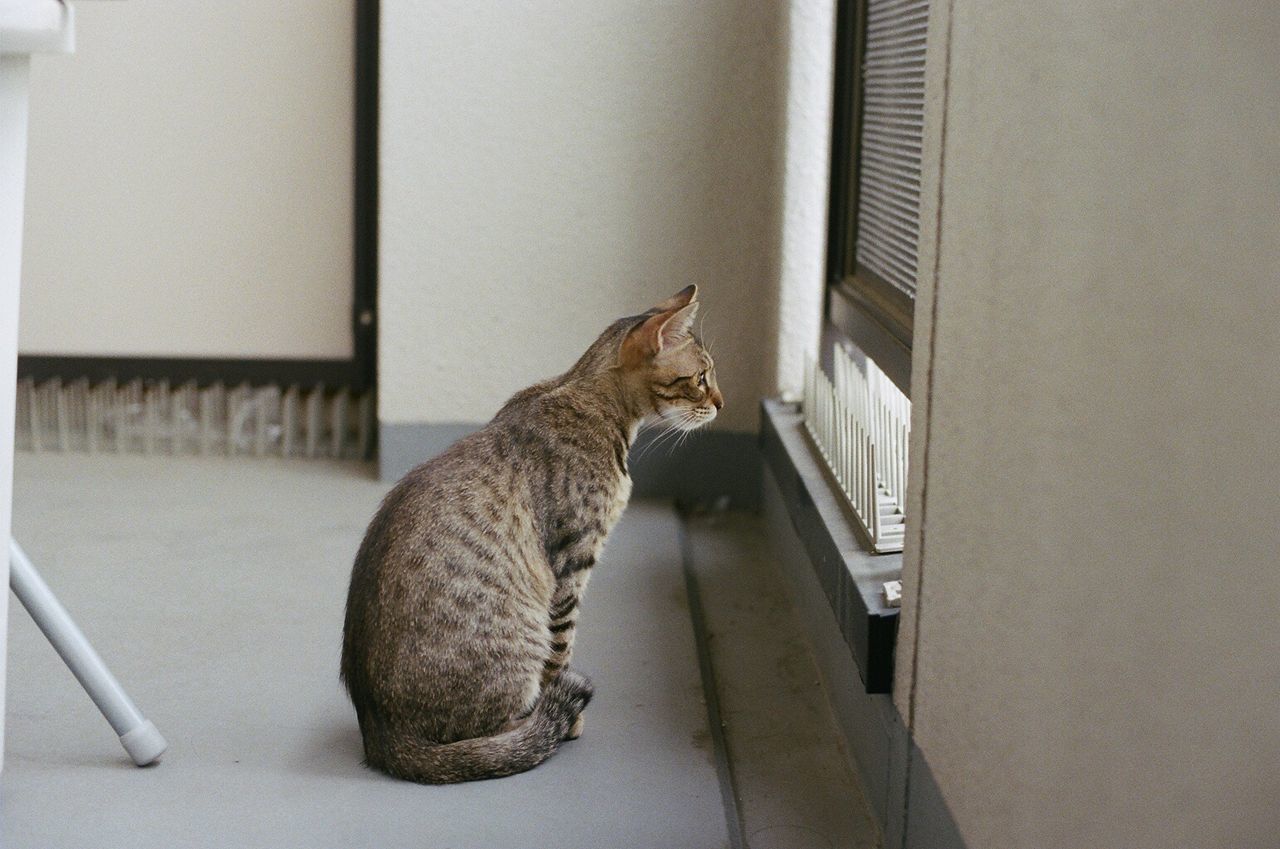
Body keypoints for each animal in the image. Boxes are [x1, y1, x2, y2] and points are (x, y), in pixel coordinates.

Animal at [337, 289, 721, 788]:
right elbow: (562, 650)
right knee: (491, 737)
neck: (587, 398)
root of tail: (381, 734)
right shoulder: (572, 563)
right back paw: (539, 728)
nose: (722, 402)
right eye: (700, 377)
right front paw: (563, 717)